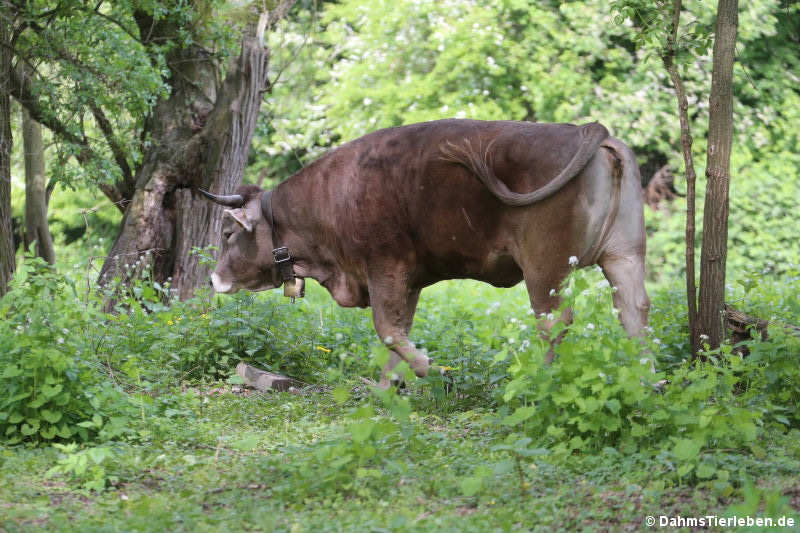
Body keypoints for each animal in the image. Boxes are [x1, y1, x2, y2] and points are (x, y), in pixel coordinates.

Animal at [200, 119, 648, 386]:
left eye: (227, 232)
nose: (213, 278)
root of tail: (587, 130)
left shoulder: (385, 268)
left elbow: (387, 329)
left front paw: (428, 369)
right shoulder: (407, 281)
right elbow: (400, 330)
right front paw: (389, 386)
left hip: (545, 268)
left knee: (555, 322)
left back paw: (540, 380)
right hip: (624, 255)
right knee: (633, 311)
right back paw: (648, 379)